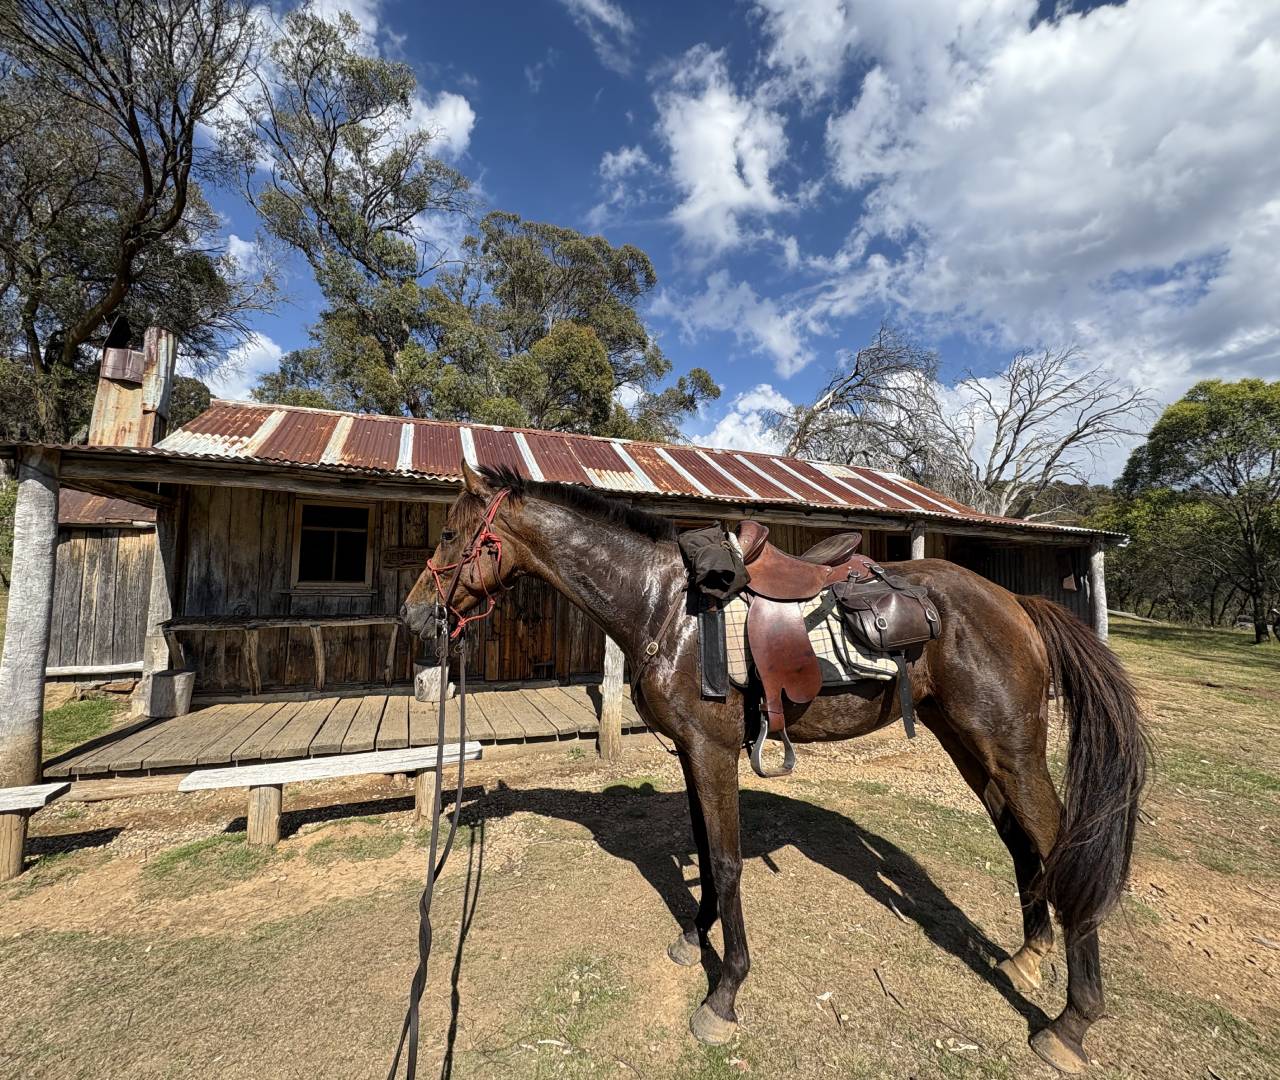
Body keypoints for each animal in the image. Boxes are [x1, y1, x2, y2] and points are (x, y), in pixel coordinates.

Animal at [399, 462, 1149, 1075]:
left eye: (448, 534)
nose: (412, 618)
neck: (663, 607)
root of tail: (1018, 603)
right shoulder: (691, 752)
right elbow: (706, 851)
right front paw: (692, 935)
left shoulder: (712, 750)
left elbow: (728, 861)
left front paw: (724, 993)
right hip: (968, 743)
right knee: (1020, 842)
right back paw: (1026, 958)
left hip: (1009, 748)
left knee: (1058, 845)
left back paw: (1070, 1024)